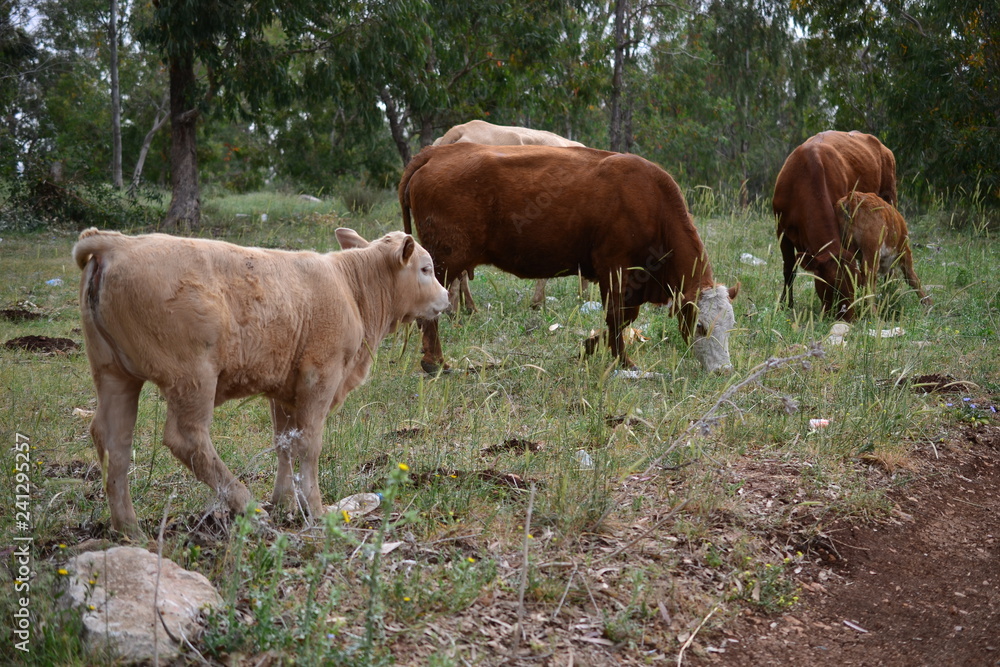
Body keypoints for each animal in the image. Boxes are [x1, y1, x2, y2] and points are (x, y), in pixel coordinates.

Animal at [73, 227, 449, 537]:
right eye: (425, 269)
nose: (446, 298)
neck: (352, 289)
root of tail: (117, 243)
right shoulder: (320, 376)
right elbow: (309, 444)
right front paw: (315, 509)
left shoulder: (284, 388)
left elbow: (284, 442)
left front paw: (285, 503)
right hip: (192, 377)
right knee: (187, 439)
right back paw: (248, 507)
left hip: (114, 373)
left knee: (115, 441)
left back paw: (129, 529)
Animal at [398, 142, 739, 374]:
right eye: (700, 326)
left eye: (730, 326)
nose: (723, 370)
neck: (651, 201)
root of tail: (437, 152)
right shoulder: (614, 270)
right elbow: (617, 318)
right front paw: (622, 360)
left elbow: (621, 319)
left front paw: (589, 348)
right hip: (444, 263)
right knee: (430, 314)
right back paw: (436, 363)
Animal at [772, 130, 897, 319]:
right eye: (832, 284)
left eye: (856, 282)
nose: (849, 317)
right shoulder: (782, 231)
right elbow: (789, 269)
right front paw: (785, 305)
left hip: (890, 197)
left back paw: (889, 291)